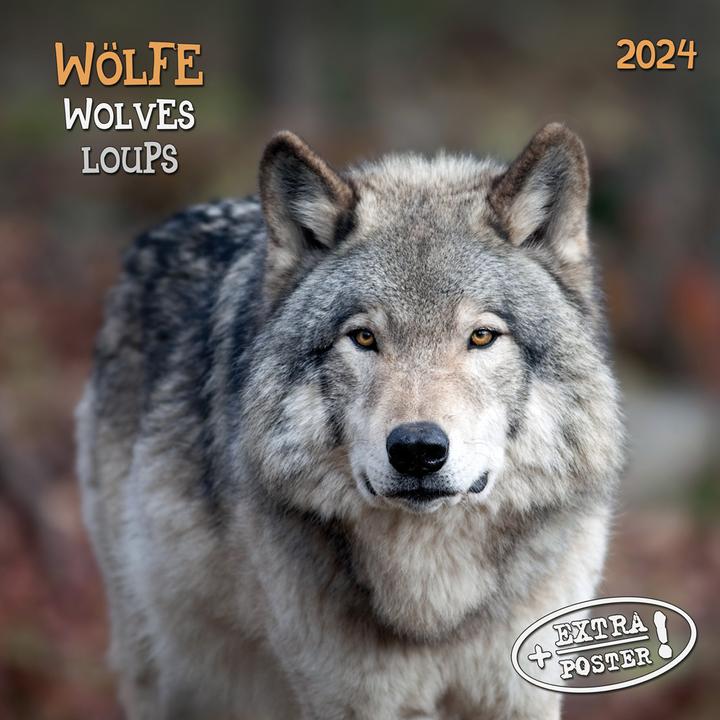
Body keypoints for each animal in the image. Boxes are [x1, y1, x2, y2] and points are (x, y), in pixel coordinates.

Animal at [76, 123, 624, 720]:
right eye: (363, 337)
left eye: (481, 336)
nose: (416, 449)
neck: (433, 605)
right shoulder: (345, 699)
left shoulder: (519, 694)